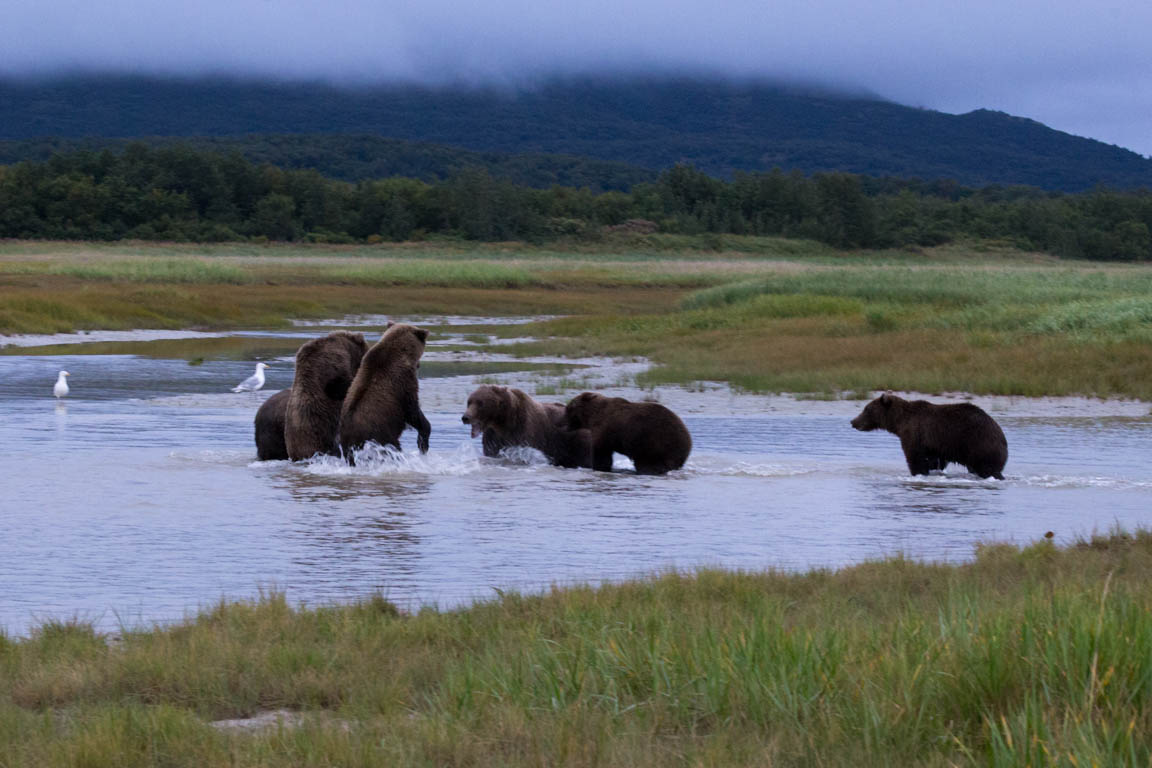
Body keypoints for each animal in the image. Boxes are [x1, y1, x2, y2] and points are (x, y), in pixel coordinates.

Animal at [460, 384, 594, 469]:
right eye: (469, 401)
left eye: (480, 403)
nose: (465, 417)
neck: (503, 422)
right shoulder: (493, 436)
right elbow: (492, 452)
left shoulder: (525, 431)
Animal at [847, 393, 1009, 476]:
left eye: (866, 409)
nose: (853, 421)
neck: (899, 422)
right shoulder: (935, 446)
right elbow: (934, 462)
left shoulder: (914, 433)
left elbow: (915, 458)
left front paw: (917, 473)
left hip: (979, 444)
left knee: (987, 468)